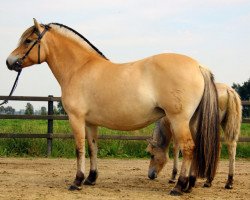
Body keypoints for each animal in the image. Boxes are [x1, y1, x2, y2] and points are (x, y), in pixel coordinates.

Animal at [6, 19, 221, 195]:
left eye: (28, 41)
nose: (9, 62)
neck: (79, 68)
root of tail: (198, 66)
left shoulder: (76, 118)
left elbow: (79, 148)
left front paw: (77, 181)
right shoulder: (90, 122)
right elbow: (92, 147)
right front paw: (91, 178)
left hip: (179, 120)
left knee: (189, 147)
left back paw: (178, 186)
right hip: (191, 121)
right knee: (195, 147)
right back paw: (189, 185)